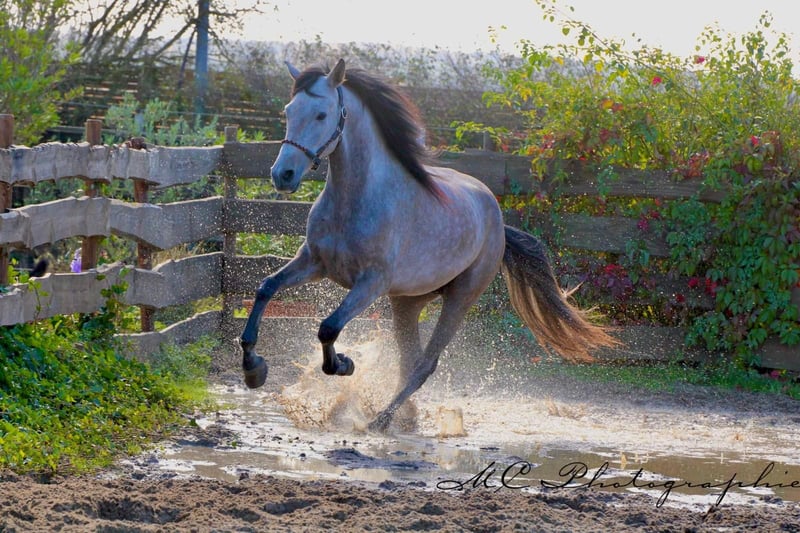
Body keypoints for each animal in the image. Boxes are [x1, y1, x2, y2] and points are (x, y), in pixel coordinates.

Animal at [238, 59, 618, 432]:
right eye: (289, 111)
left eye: (321, 115)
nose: (282, 175)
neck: (356, 199)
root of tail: (496, 218)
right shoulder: (313, 263)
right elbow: (265, 287)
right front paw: (254, 368)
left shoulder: (370, 283)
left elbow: (328, 327)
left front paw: (344, 364)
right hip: (407, 302)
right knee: (408, 360)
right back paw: (404, 416)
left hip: (460, 299)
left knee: (425, 363)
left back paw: (382, 420)